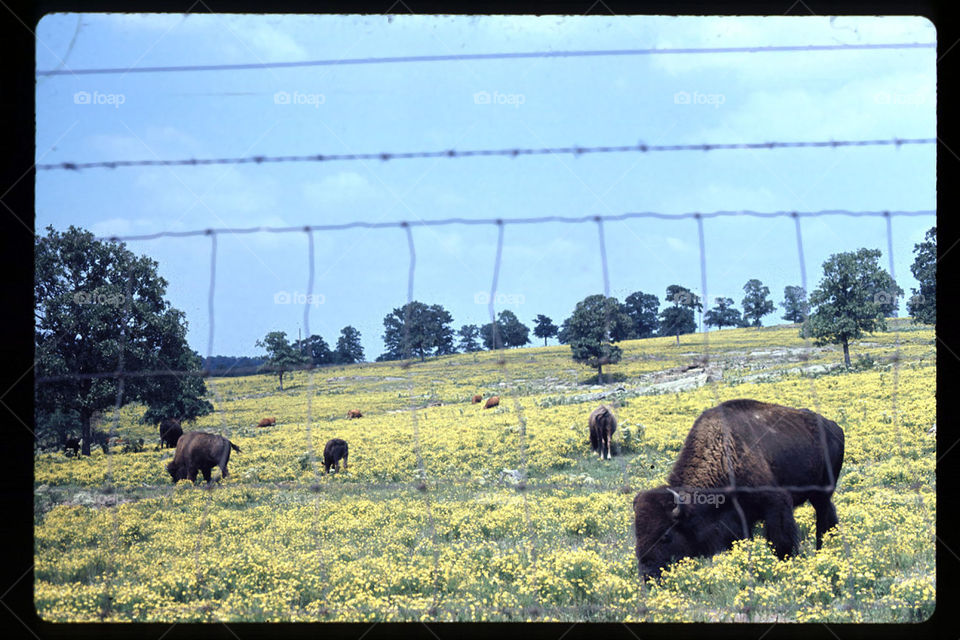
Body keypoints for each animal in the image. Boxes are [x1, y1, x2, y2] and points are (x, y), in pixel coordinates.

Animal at [633, 399, 844, 580]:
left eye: (665, 536)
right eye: (636, 534)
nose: (647, 574)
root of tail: (833, 426)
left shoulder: (777, 503)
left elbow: (781, 540)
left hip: (822, 493)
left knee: (823, 518)